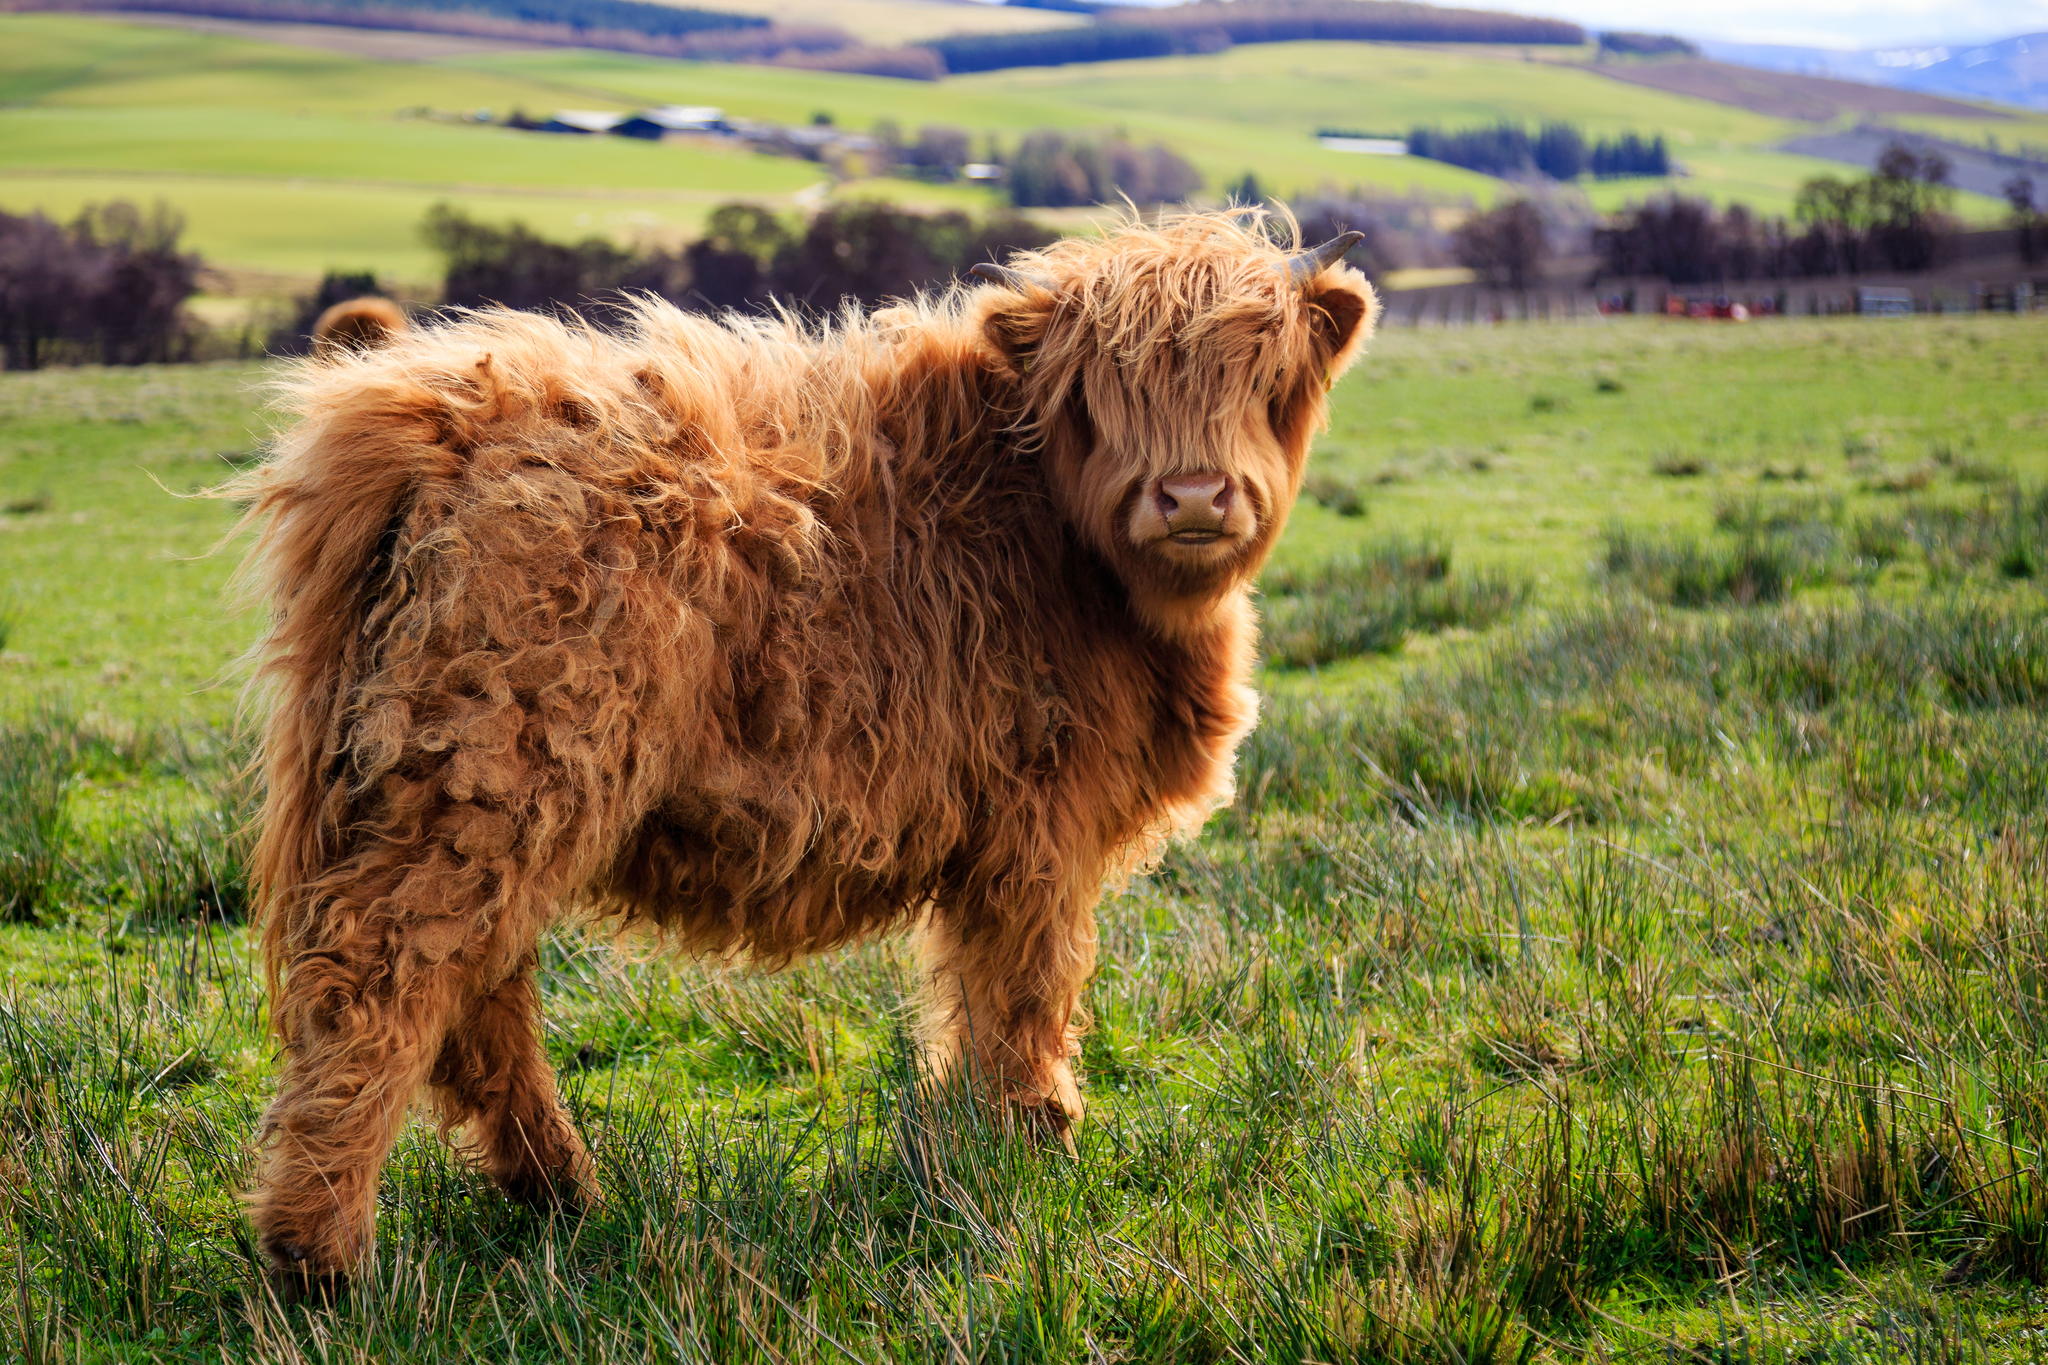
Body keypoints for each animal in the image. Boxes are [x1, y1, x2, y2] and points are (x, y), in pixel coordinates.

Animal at [232, 211, 1376, 1292]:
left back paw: (558, 1189)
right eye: (1099, 392)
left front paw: (975, 1134)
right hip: (497, 769)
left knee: (477, 992)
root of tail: (443, 421)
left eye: (1267, 378)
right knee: (383, 975)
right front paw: (1036, 1133)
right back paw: (320, 1252)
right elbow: (1029, 981)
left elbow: (979, 988)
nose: (1192, 497)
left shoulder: (999, 833)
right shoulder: (1039, 824)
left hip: (466, 784)